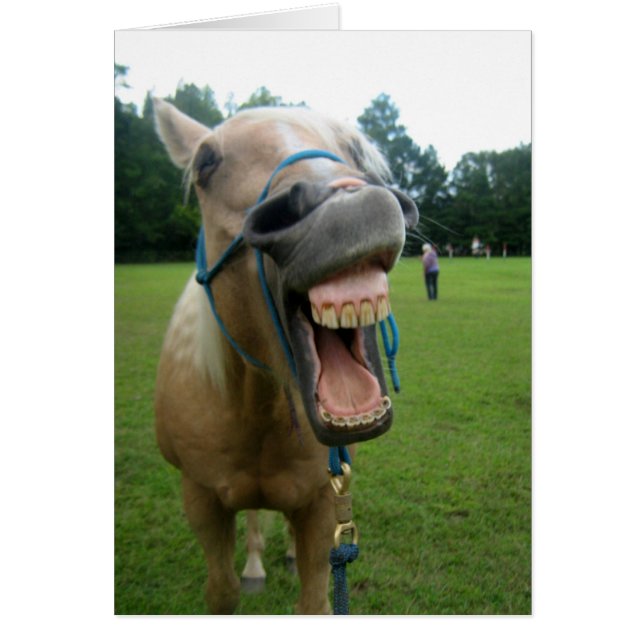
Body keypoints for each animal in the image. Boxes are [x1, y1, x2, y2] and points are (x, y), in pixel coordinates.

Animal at [152, 98, 418, 614]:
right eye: (205, 162)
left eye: (357, 148)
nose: (347, 203)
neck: (258, 404)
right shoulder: (201, 499)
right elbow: (222, 591)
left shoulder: (321, 504)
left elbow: (315, 599)